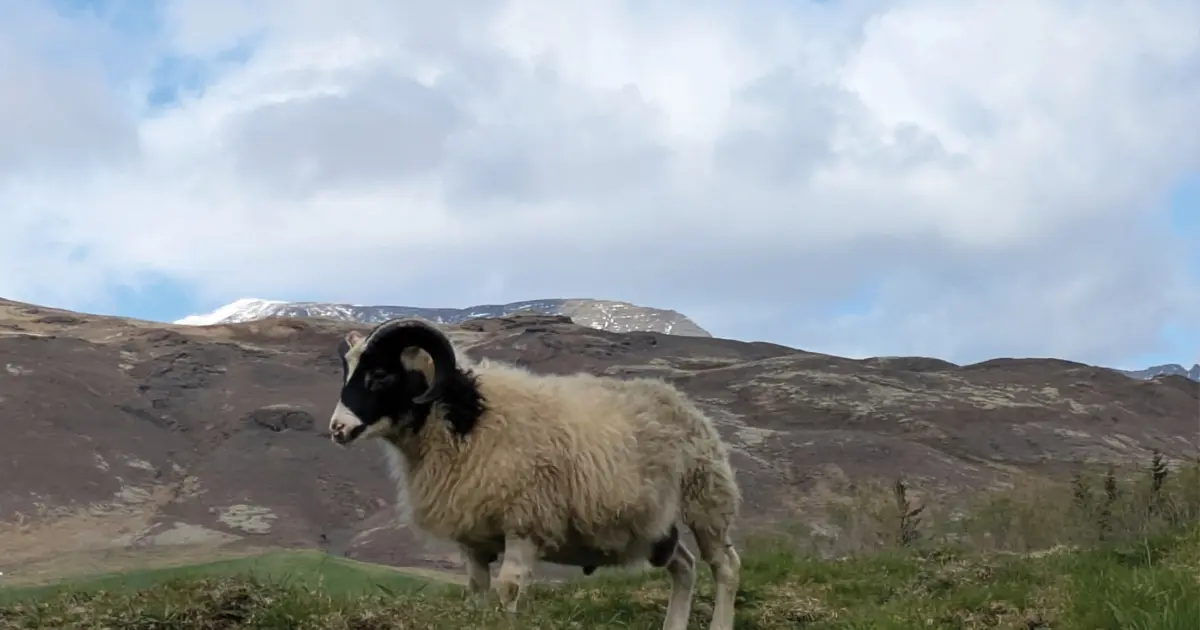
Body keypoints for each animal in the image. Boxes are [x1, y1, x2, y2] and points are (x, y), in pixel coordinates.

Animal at [326, 317, 743, 630]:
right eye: (347, 371)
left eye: (381, 374)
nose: (337, 429)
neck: (469, 419)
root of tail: (679, 400)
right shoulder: (473, 539)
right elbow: (476, 592)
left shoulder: (525, 525)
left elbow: (508, 590)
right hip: (657, 529)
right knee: (685, 568)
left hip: (707, 503)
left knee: (726, 568)